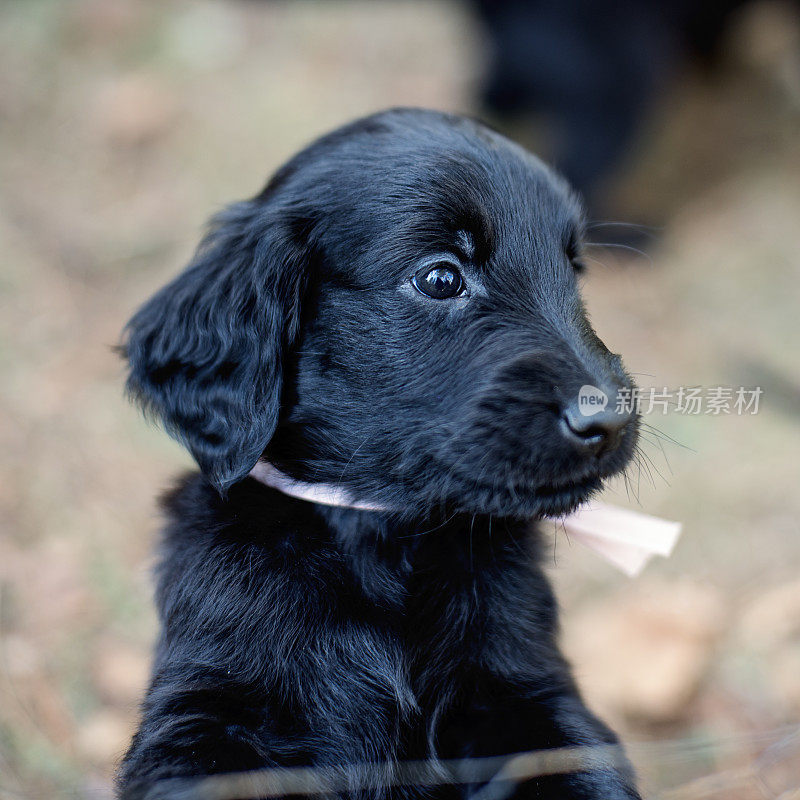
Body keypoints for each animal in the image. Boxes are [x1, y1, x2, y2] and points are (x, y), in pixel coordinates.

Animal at [119, 108, 640, 800]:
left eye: (572, 271)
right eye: (441, 277)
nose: (609, 419)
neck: (382, 539)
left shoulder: (533, 698)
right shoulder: (210, 710)